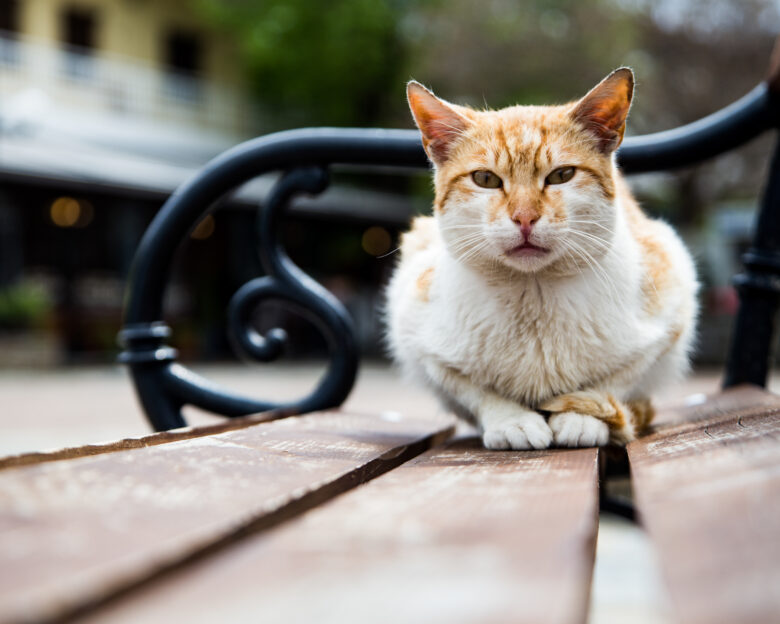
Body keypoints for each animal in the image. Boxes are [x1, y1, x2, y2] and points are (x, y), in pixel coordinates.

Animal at [386, 68, 696, 448]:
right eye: (485, 179)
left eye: (562, 175)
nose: (524, 218)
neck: (533, 293)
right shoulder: (415, 334)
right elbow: (474, 390)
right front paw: (512, 421)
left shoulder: (669, 310)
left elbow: (614, 381)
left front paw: (580, 418)